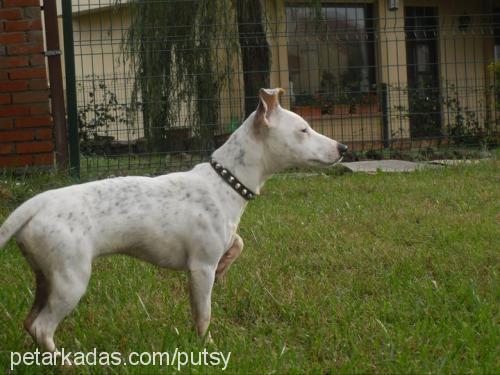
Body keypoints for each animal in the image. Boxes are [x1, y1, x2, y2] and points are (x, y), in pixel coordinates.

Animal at [0, 89, 346, 352]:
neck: (225, 181)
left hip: (45, 277)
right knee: (43, 327)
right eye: (303, 130)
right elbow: (203, 314)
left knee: (31, 321)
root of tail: (35, 204)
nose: (343, 147)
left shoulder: (219, 247)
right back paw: (66, 362)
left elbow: (238, 243)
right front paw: (207, 346)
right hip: (70, 280)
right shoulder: (200, 268)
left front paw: (227, 264)